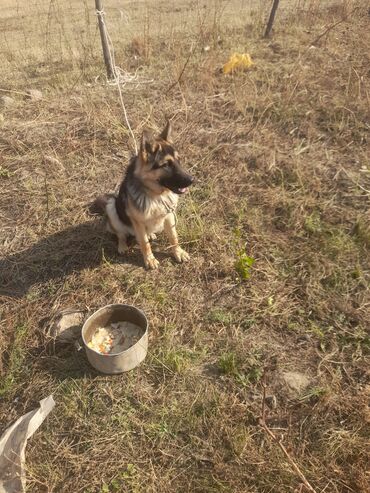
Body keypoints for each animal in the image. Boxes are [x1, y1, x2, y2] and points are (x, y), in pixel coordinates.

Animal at [93, 122, 194, 270]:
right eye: (166, 164)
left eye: (178, 160)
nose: (192, 180)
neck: (155, 195)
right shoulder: (138, 223)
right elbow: (145, 244)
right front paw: (150, 260)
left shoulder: (169, 216)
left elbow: (174, 237)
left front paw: (178, 252)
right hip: (112, 206)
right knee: (120, 234)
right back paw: (122, 246)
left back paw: (151, 233)